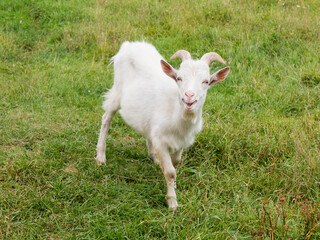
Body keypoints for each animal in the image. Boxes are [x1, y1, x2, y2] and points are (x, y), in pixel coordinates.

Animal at [95, 41, 230, 210]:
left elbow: (175, 164)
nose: (189, 96)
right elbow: (170, 172)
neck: (177, 115)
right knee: (106, 118)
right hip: (117, 91)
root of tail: (129, 45)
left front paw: (174, 186)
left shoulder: (181, 142)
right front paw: (172, 202)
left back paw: (154, 158)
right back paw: (101, 157)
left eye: (205, 81)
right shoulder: (161, 140)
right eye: (179, 78)